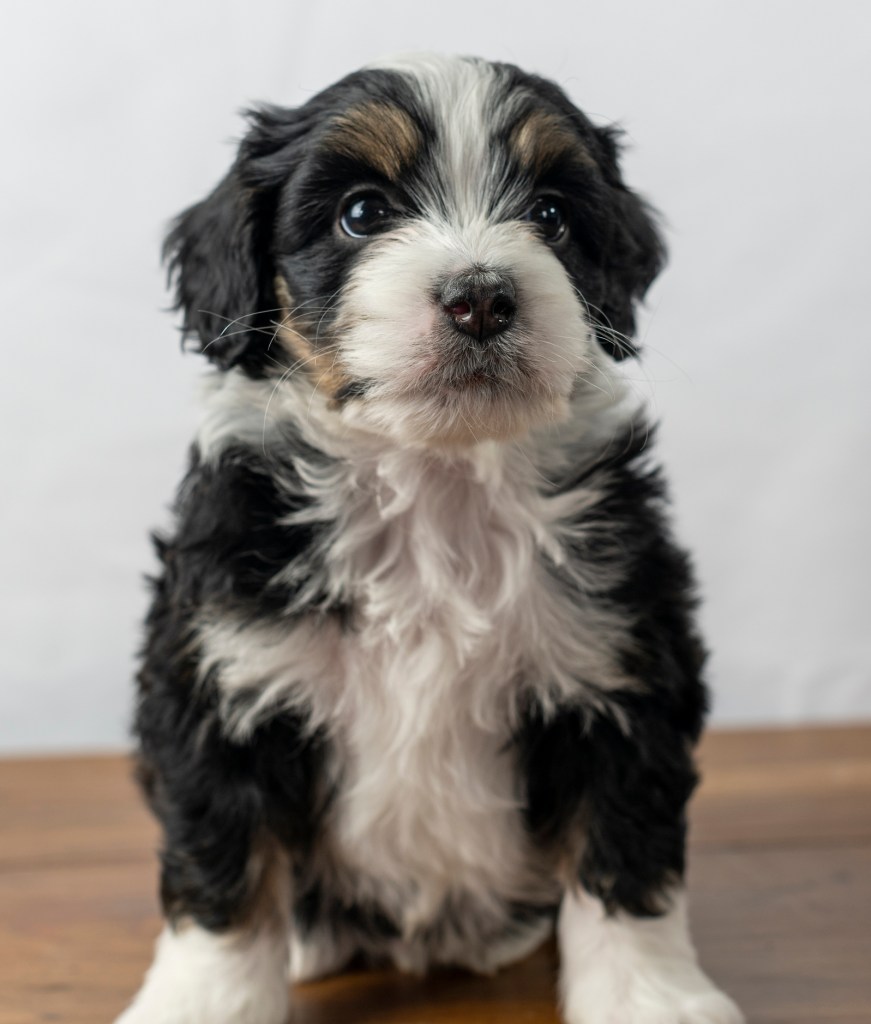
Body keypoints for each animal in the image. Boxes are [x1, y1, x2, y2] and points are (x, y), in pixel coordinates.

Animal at [114, 54, 741, 1024]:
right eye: (361, 212)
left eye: (551, 215)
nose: (480, 297)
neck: (434, 480)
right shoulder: (217, 675)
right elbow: (224, 869)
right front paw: (203, 1002)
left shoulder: (624, 666)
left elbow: (623, 852)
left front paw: (651, 997)